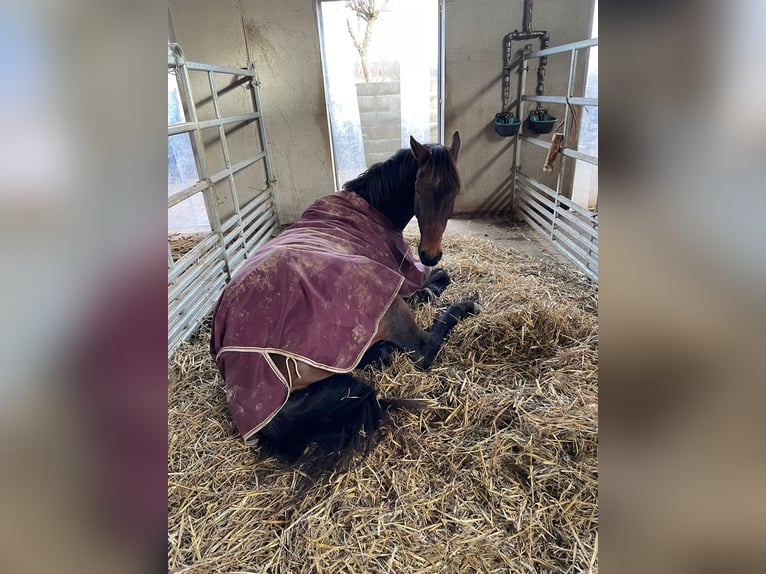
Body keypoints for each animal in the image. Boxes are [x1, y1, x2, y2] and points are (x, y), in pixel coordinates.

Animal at [210, 132, 480, 468]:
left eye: (455, 189)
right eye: (418, 187)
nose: (430, 254)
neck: (370, 205)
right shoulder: (405, 276)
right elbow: (438, 278)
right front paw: (432, 288)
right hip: (387, 303)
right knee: (423, 348)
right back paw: (464, 307)